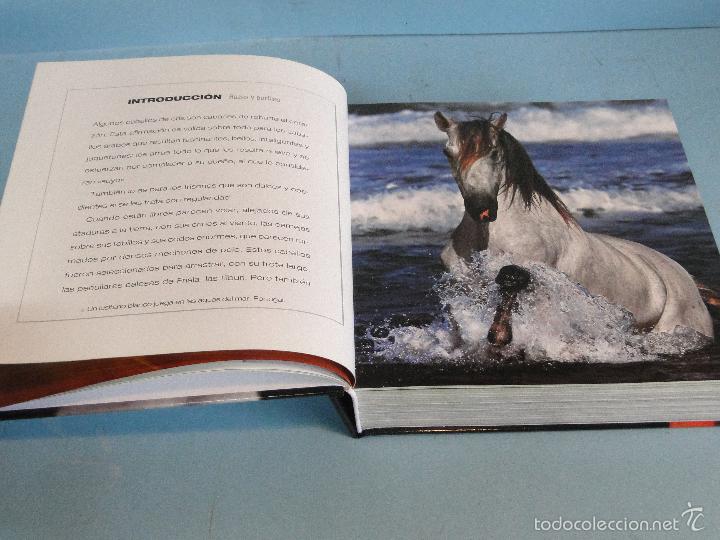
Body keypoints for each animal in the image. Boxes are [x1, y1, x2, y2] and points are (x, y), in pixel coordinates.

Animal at [434, 111, 714, 339]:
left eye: (493, 152)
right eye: (448, 153)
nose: (482, 208)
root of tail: (689, 281)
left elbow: (511, 280)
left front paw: (501, 336)